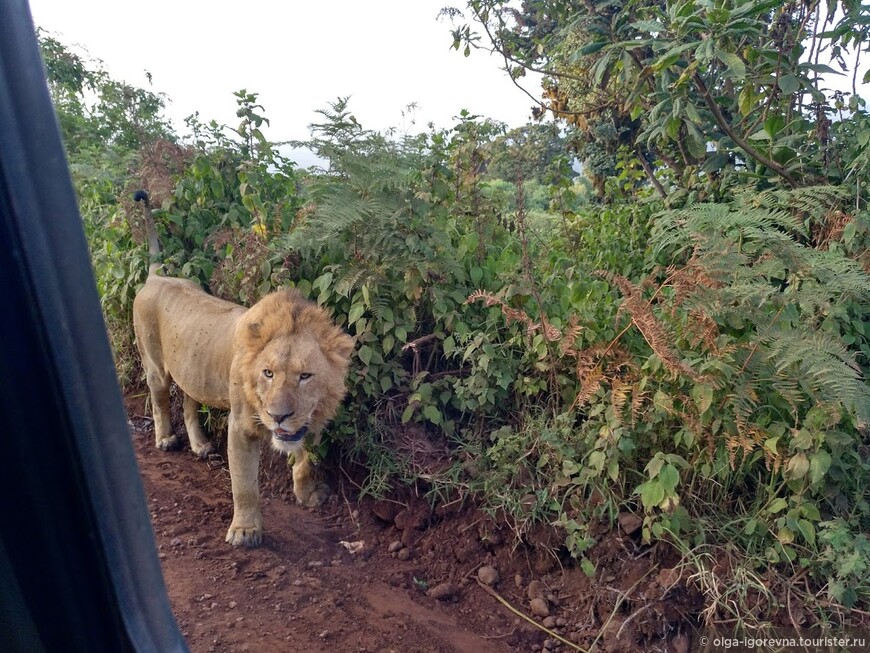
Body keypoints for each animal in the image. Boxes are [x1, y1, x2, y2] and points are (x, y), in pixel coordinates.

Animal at [132, 190, 354, 544]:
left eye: (305, 376)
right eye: (268, 373)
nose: (279, 415)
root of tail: (156, 276)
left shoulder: (309, 419)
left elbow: (304, 458)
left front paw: (308, 494)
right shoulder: (240, 426)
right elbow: (244, 482)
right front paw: (245, 530)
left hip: (193, 369)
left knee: (190, 401)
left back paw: (201, 445)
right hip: (154, 364)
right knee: (160, 399)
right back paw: (166, 439)